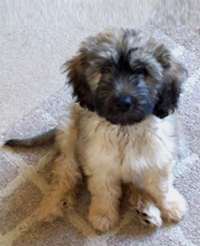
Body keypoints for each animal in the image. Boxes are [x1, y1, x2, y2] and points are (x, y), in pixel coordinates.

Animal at [4, 28, 188, 233]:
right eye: (106, 70)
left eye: (142, 72)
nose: (123, 102)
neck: (125, 130)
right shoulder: (100, 164)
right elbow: (105, 192)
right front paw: (103, 215)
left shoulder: (157, 158)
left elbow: (161, 186)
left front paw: (171, 205)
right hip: (69, 133)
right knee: (65, 171)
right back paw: (54, 202)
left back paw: (146, 209)